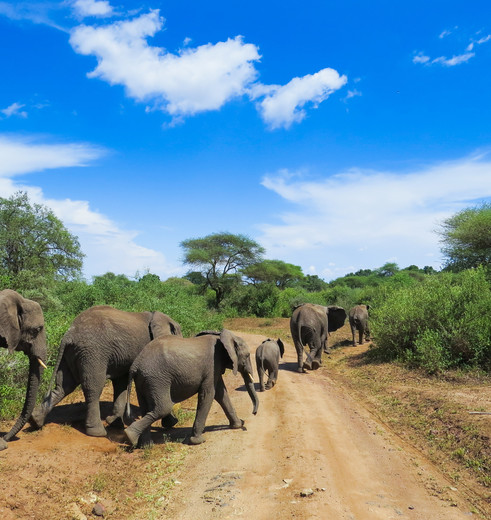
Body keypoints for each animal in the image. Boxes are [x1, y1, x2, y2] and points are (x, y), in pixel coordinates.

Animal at [31, 306, 184, 436]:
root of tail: (69, 333)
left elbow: (121, 384)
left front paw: (115, 422)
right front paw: (171, 423)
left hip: (71, 354)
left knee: (64, 387)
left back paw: (35, 420)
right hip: (92, 353)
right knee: (93, 388)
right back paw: (97, 432)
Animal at [124, 330, 262, 446]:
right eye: (247, 355)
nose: (254, 413)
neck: (223, 337)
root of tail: (135, 366)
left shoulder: (215, 368)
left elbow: (221, 394)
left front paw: (237, 425)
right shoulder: (212, 365)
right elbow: (208, 394)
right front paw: (198, 441)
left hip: (144, 381)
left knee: (145, 408)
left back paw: (145, 445)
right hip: (157, 379)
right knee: (163, 408)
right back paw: (130, 436)